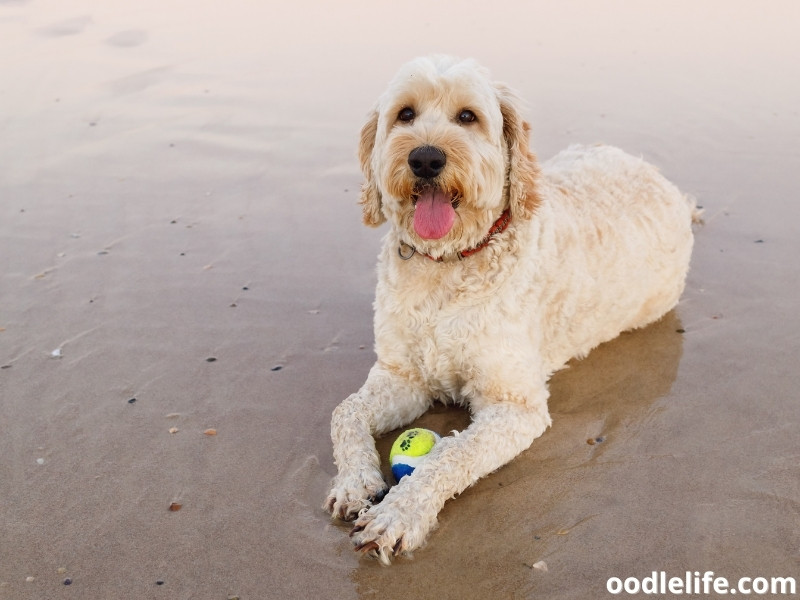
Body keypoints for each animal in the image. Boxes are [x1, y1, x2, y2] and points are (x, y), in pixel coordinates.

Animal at [324, 55, 692, 564]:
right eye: (405, 114)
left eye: (467, 117)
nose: (425, 158)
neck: (451, 263)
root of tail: (659, 176)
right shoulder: (403, 376)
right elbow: (346, 411)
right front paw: (354, 483)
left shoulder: (514, 405)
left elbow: (449, 456)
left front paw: (400, 513)